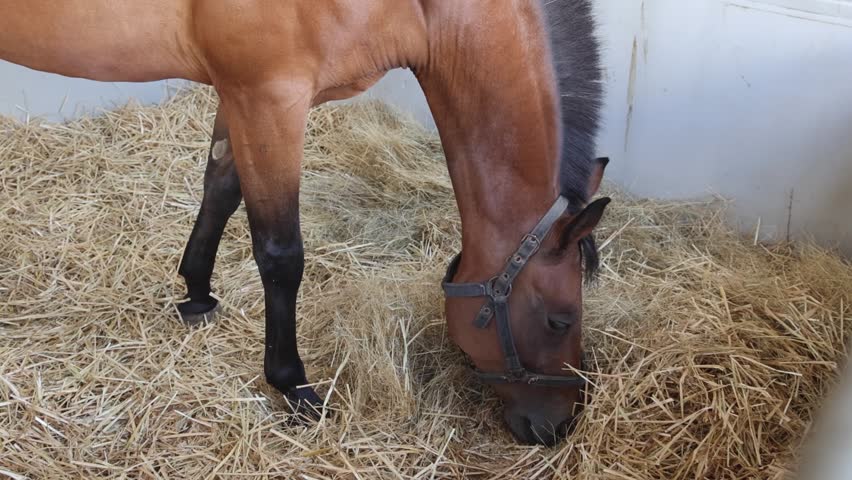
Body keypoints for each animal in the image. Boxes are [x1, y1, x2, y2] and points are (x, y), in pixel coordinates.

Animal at [0, 0, 609, 445]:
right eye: (559, 319)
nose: (557, 427)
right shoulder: (270, 97)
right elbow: (280, 253)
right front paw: (293, 387)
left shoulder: (241, 94)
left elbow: (220, 188)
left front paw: (197, 292)